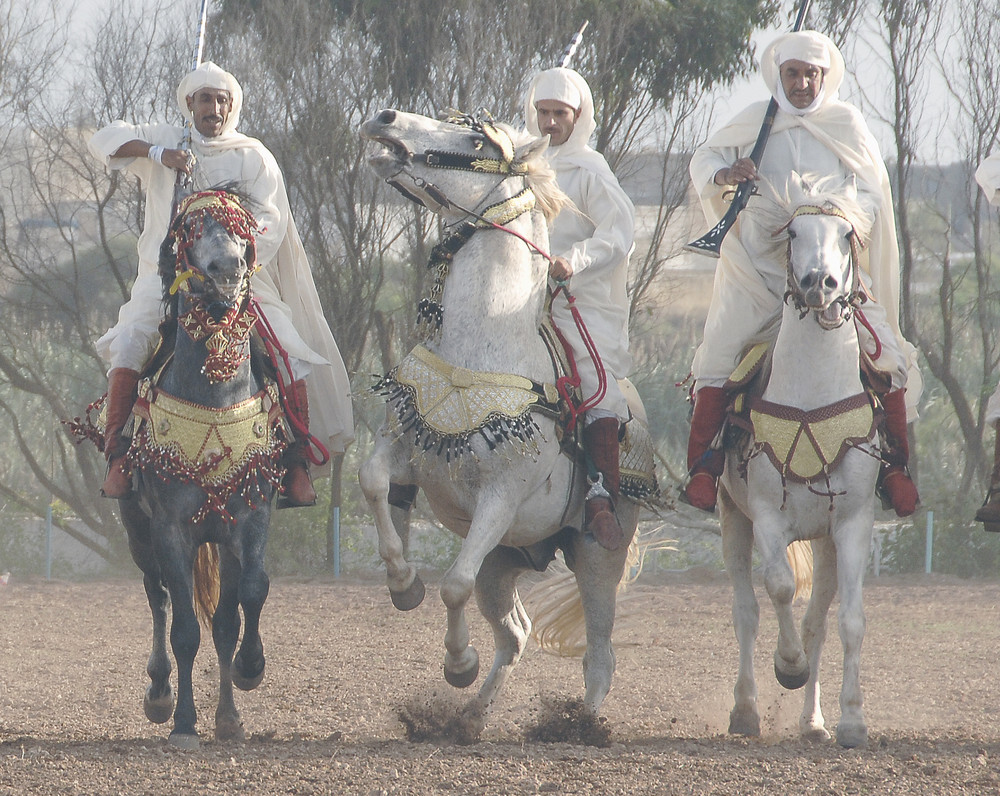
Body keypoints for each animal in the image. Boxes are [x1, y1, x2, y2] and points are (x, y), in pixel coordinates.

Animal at [120, 190, 290, 748]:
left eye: (241, 229)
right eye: (191, 230)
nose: (227, 270)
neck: (215, 397)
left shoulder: (251, 519)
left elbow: (248, 598)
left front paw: (248, 674)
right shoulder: (171, 529)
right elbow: (184, 631)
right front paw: (183, 723)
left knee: (221, 617)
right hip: (138, 529)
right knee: (158, 598)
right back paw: (159, 696)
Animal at [356, 109, 652, 736]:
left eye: (475, 139)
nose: (385, 119)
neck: (482, 350)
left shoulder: (500, 498)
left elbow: (453, 585)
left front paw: (457, 662)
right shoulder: (406, 448)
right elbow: (372, 482)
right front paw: (402, 583)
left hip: (596, 557)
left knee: (600, 652)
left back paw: (580, 725)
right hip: (506, 558)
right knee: (515, 635)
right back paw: (469, 718)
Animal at [724, 176, 880, 752]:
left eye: (846, 234)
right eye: (793, 232)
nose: (820, 284)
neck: (812, 397)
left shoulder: (853, 524)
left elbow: (849, 621)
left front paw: (852, 720)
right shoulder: (766, 516)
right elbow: (780, 588)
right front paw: (787, 666)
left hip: (825, 540)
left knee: (817, 620)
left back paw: (812, 722)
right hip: (732, 518)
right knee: (747, 613)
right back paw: (745, 710)